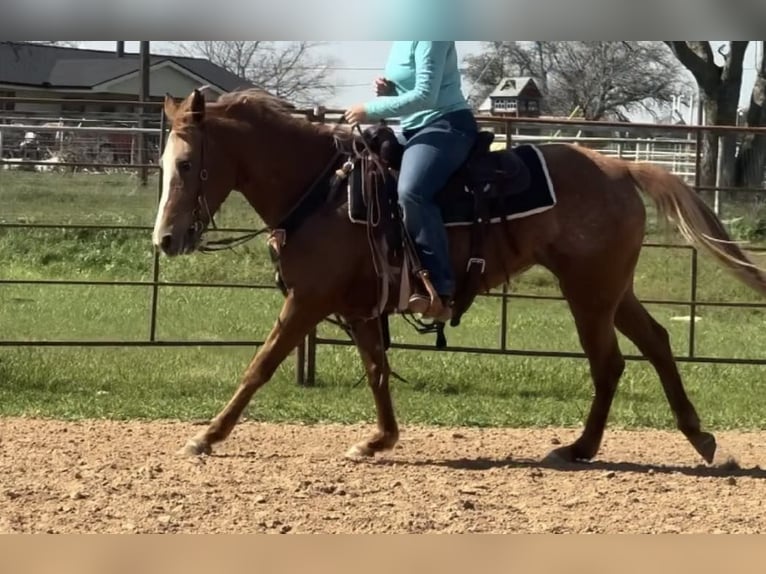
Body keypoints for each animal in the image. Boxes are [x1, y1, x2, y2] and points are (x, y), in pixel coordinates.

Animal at [152, 88, 766, 470]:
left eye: (185, 164)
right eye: (161, 164)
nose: (165, 239)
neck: (325, 190)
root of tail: (619, 165)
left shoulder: (307, 301)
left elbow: (260, 365)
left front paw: (206, 436)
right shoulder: (357, 307)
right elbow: (377, 370)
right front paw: (378, 440)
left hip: (589, 294)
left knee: (609, 362)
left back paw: (579, 448)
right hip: (612, 290)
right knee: (657, 343)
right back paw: (700, 439)